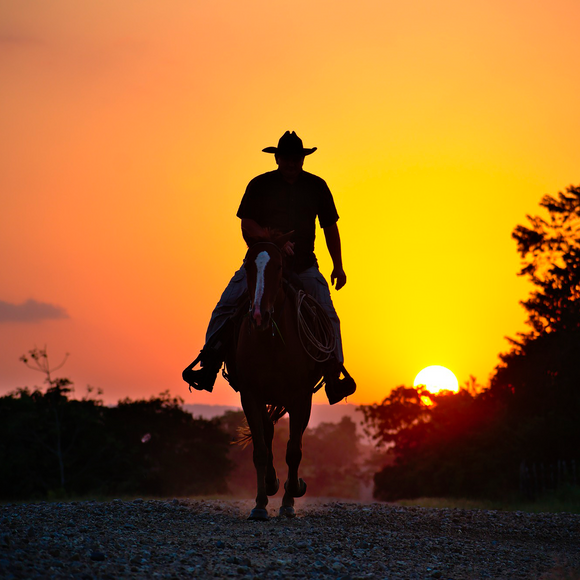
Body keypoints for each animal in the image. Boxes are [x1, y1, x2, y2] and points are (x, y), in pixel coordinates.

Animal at [236, 232, 326, 520]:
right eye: (248, 267)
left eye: (277, 266)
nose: (258, 316)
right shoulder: (250, 395)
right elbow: (260, 450)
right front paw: (260, 503)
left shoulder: (300, 397)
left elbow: (294, 451)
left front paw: (290, 499)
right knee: (268, 434)